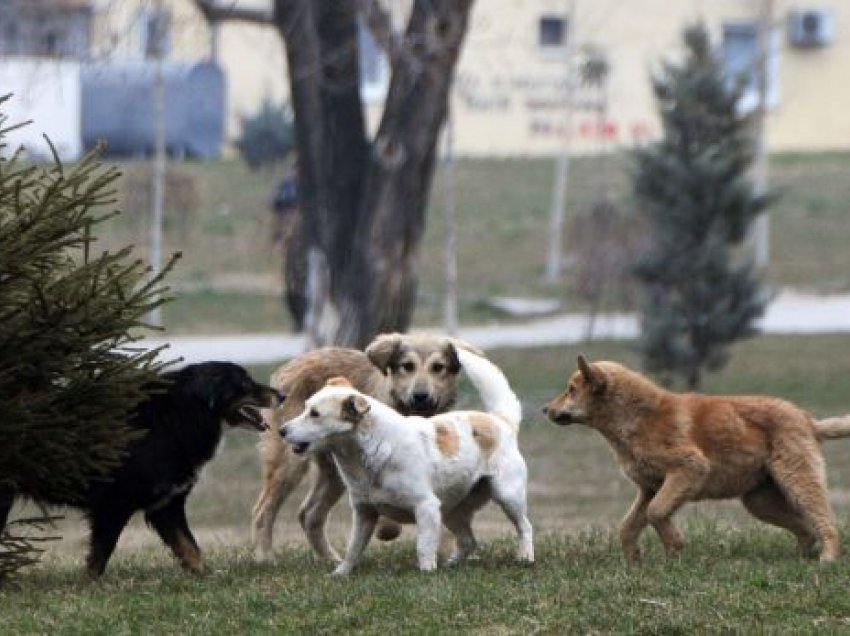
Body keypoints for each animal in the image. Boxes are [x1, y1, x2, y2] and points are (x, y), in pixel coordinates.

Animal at [0, 362, 284, 576]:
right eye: (244, 384)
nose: (281, 395)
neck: (178, 417)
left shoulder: (166, 505)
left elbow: (190, 547)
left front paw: (206, 576)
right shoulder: (113, 506)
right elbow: (100, 556)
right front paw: (92, 585)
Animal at [252, 332, 476, 560]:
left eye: (438, 367)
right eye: (407, 366)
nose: (420, 396)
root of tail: (291, 365)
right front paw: (387, 528)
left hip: (333, 473)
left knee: (309, 514)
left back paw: (330, 559)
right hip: (289, 463)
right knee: (263, 510)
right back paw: (265, 557)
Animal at [278, 348, 528, 576]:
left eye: (315, 414)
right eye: (306, 408)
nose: (282, 430)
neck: (372, 453)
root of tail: (500, 421)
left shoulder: (426, 508)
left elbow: (423, 547)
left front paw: (426, 573)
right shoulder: (364, 513)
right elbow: (353, 548)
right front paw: (341, 574)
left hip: (507, 496)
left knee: (524, 526)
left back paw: (525, 557)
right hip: (451, 511)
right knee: (468, 541)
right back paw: (452, 565)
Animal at [544, 356, 840, 564]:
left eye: (571, 390)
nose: (545, 409)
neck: (637, 418)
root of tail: (808, 420)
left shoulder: (689, 468)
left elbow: (656, 513)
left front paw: (674, 548)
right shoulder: (649, 488)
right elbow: (627, 526)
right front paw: (634, 561)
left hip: (797, 481)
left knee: (825, 521)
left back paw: (828, 557)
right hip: (759, 501)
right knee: (806, 528)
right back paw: (803, 556)